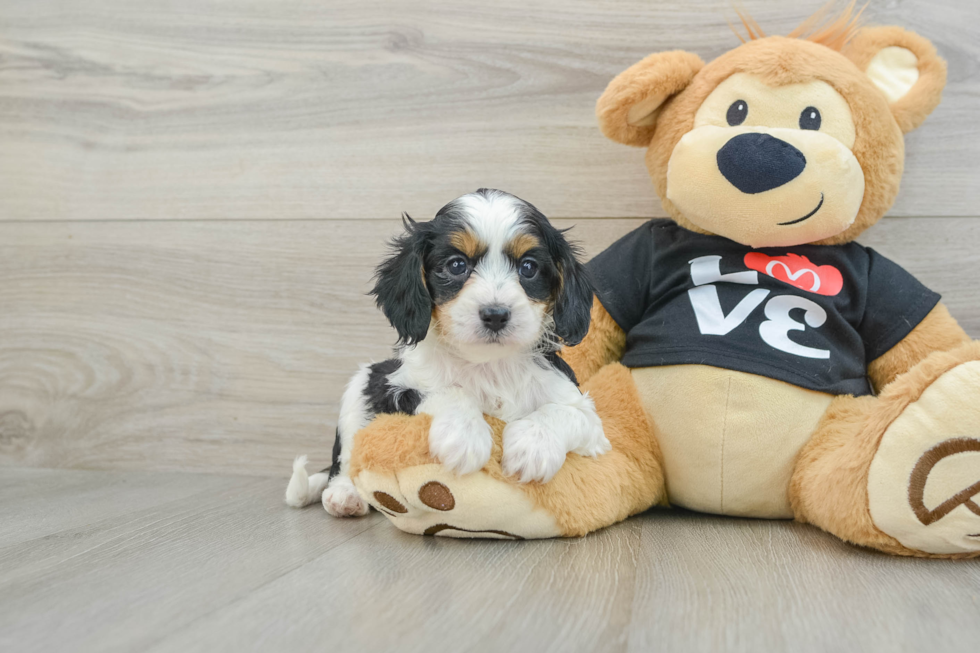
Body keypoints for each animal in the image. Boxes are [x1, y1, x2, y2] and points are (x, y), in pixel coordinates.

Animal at [284, 187, 608, 516]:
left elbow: (565, 412)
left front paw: (534, 446)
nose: (495, 314)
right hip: (361, 386)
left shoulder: (589, 421)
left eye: (528, 267)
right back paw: (344, 495)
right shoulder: (401, 386)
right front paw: (465, 435)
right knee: (346, 458)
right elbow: (446, 392)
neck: (488, 364)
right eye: (456, 265)